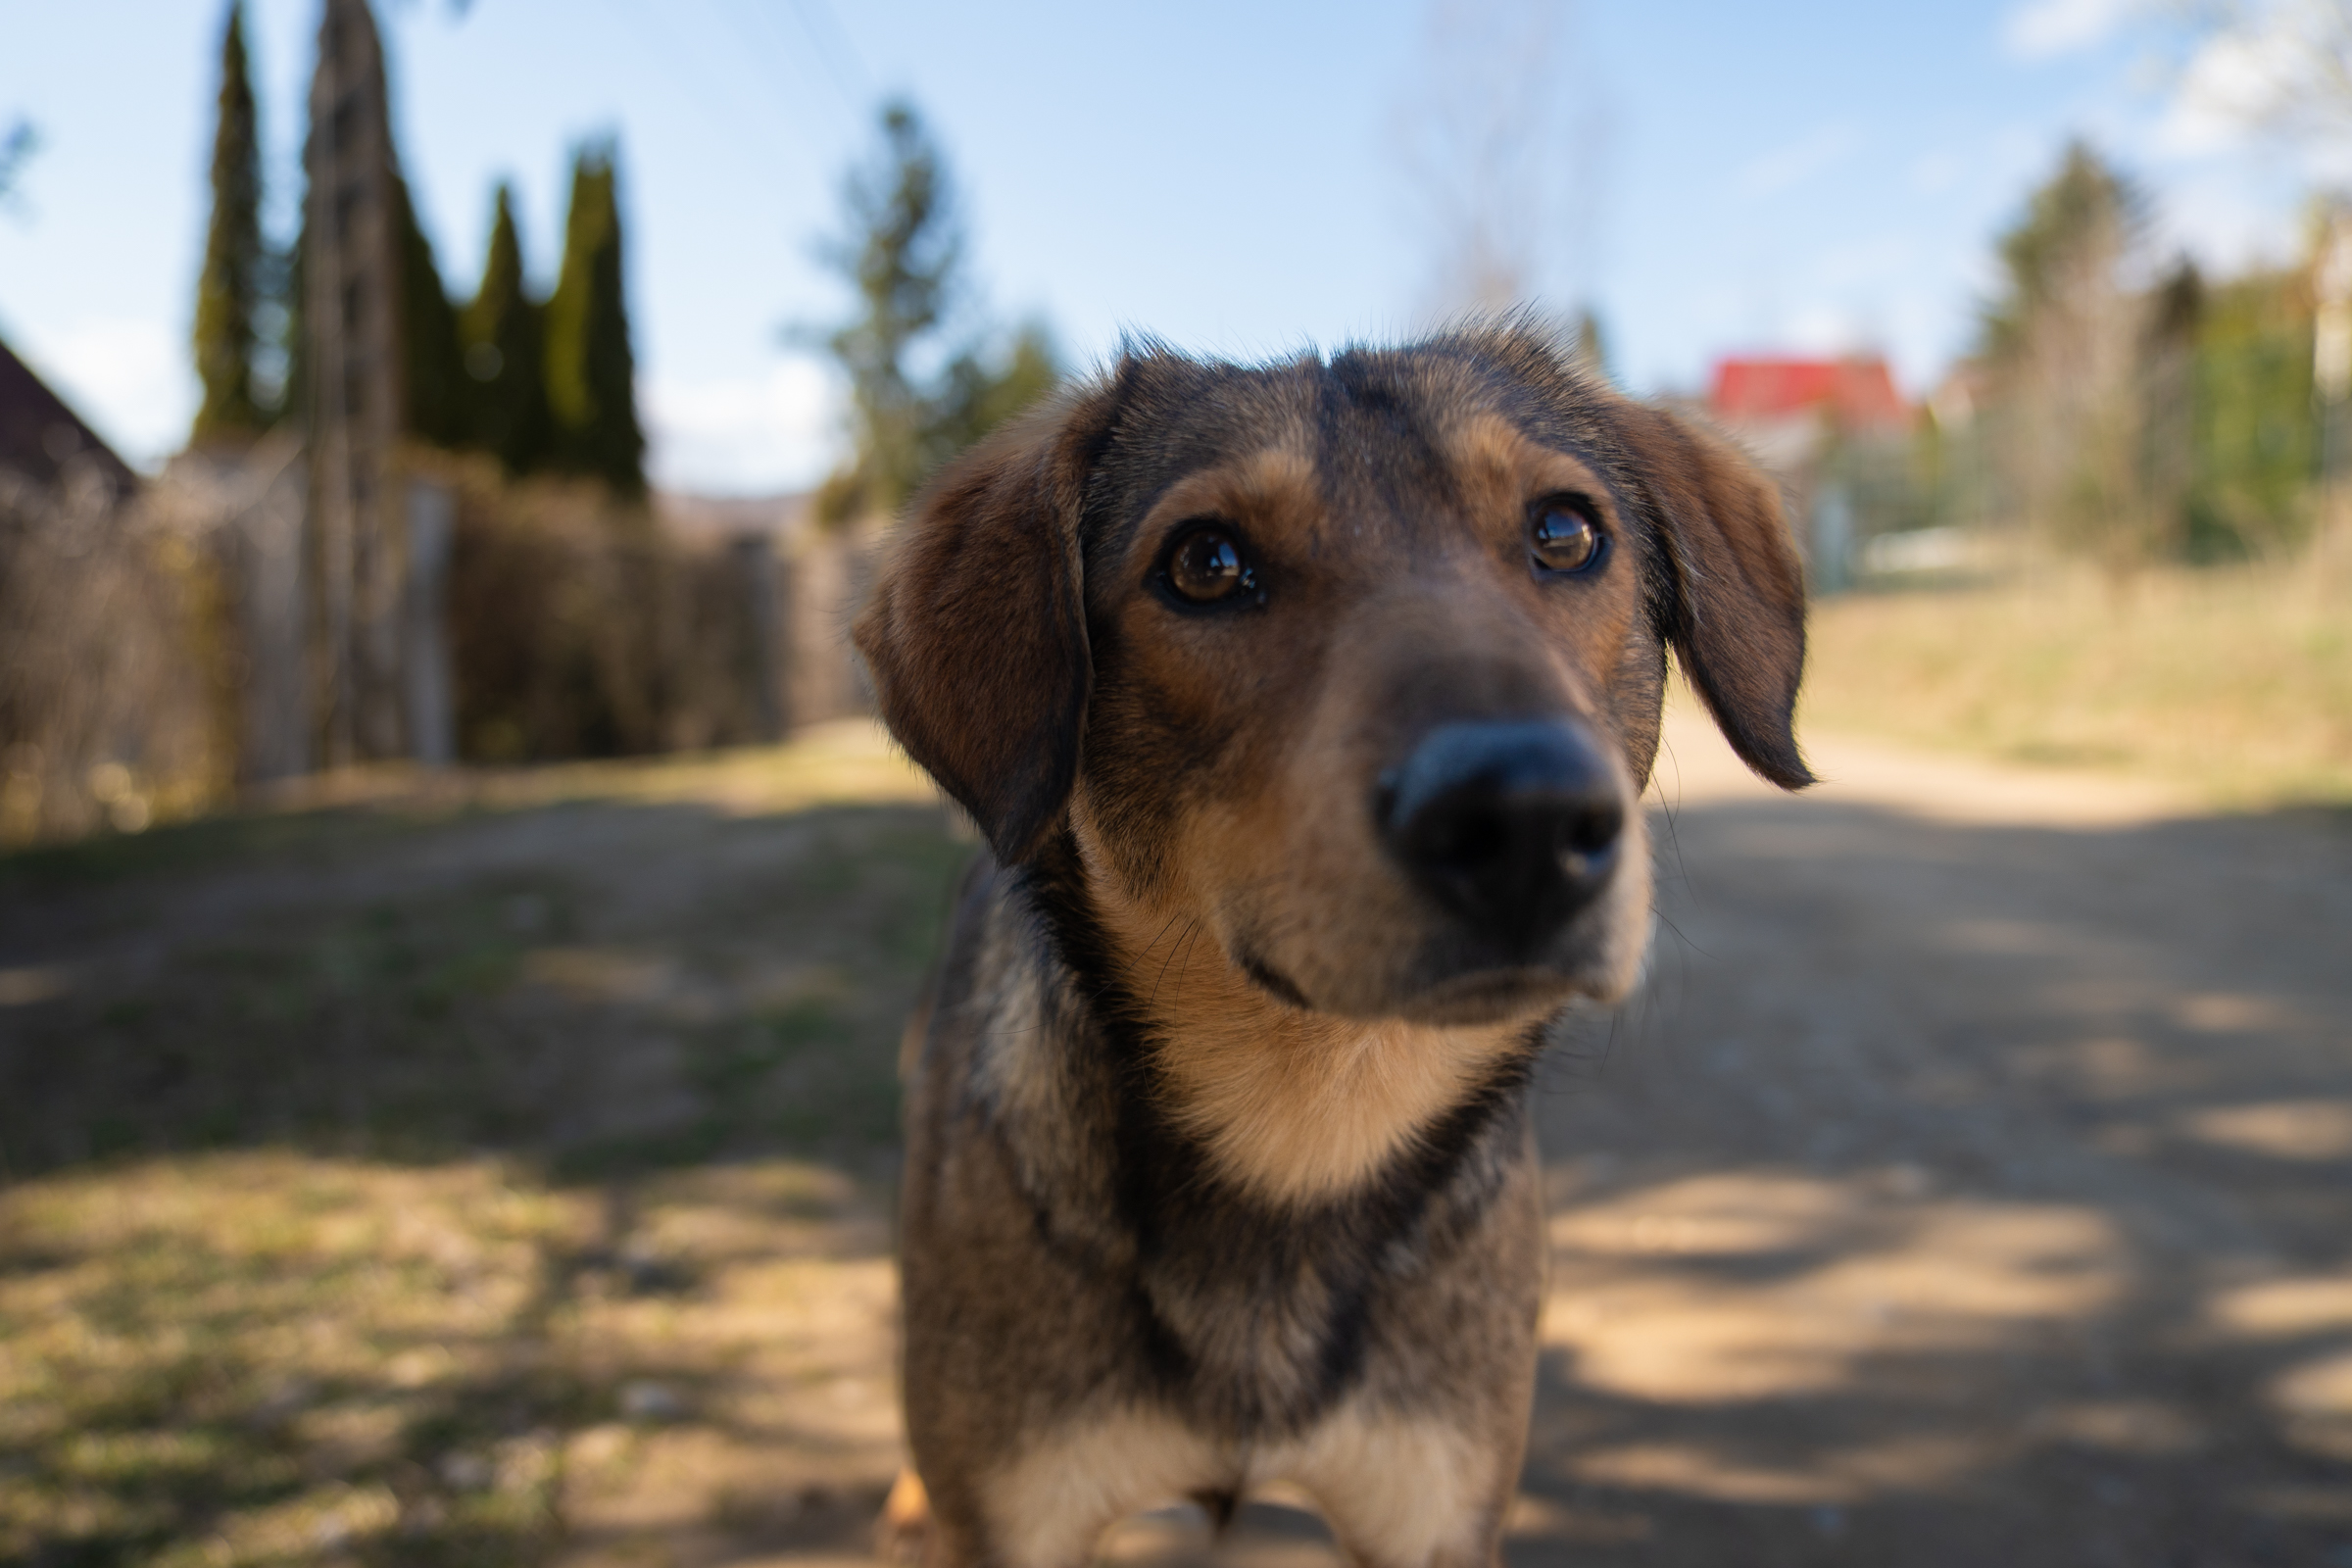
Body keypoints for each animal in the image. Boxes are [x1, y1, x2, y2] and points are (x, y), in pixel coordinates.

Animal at [856, 324, 1806, 1560]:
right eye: (1206, 563)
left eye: (1564, 532)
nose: (1526, 817)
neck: (1306, 1133)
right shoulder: (1019, 1516)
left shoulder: (1436, 1505)